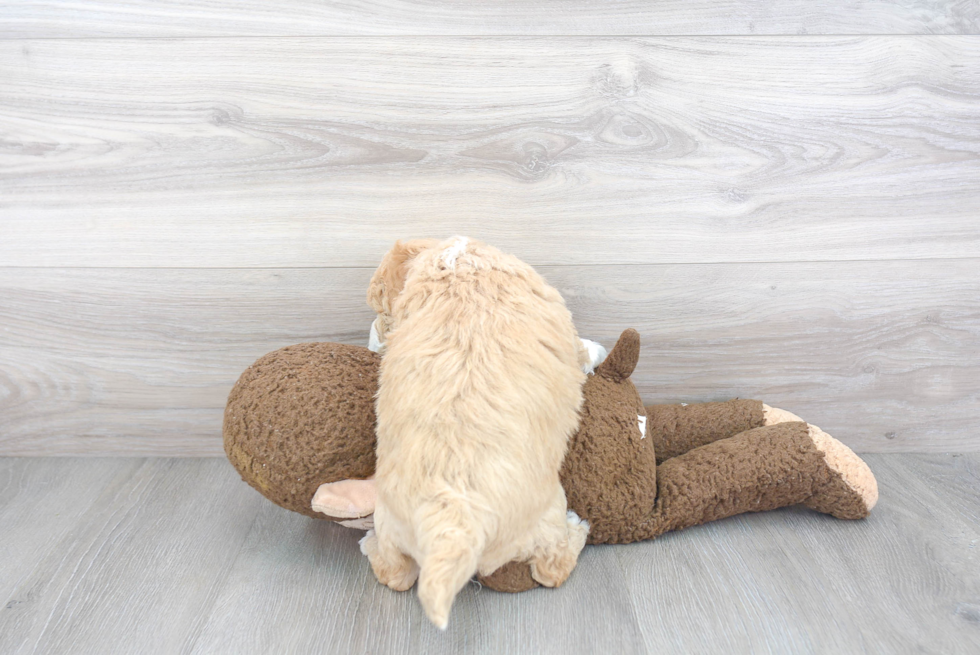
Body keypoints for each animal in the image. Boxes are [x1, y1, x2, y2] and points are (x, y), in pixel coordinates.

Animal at [360, 237, 588, 632]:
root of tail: (454, 525)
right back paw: (578, 532)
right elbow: (579, 351)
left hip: (390, 523)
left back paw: (370, 546)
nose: (375, 339)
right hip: (547, 515)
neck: (456, 262)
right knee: (550, 570)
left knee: (396, 574)